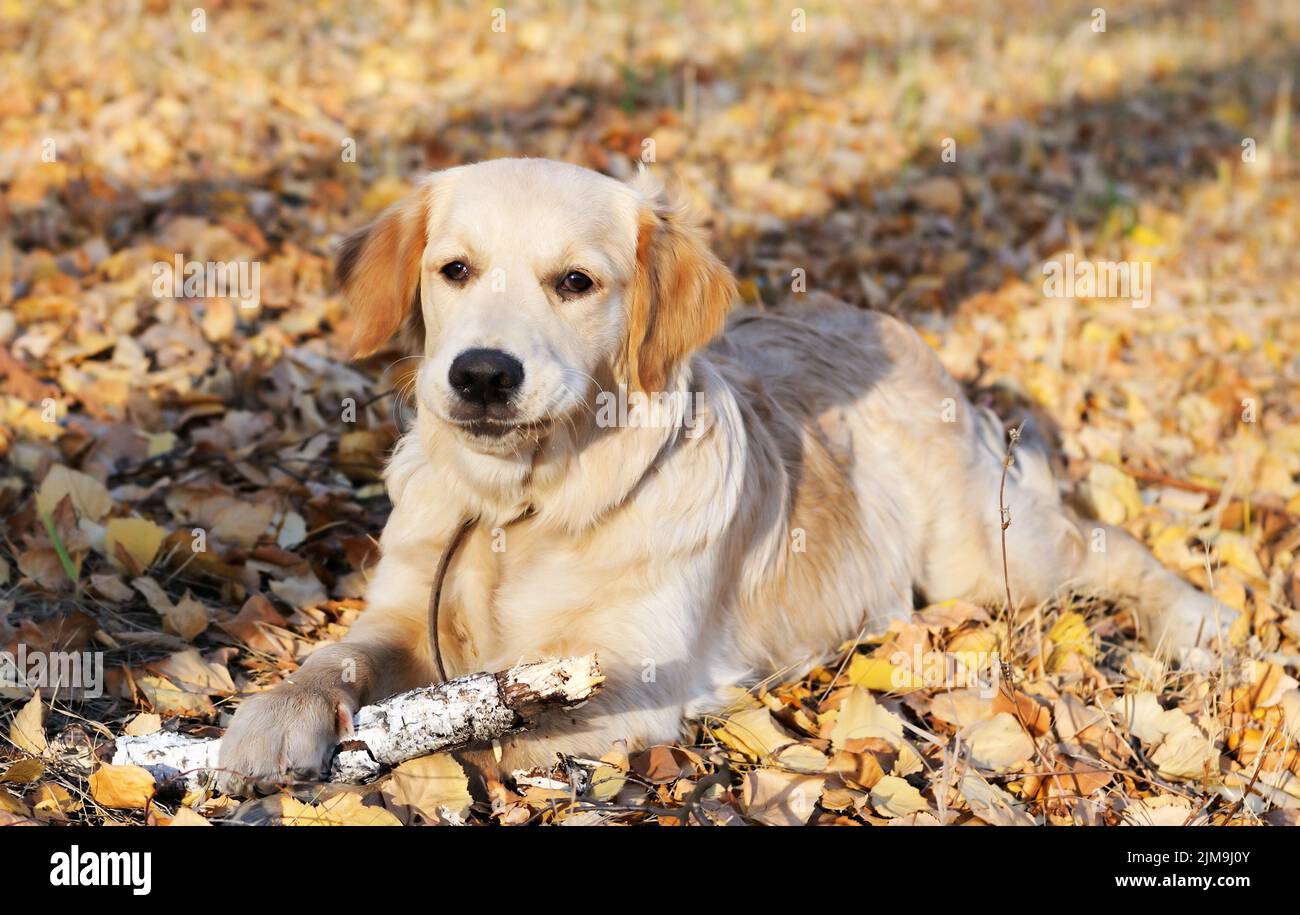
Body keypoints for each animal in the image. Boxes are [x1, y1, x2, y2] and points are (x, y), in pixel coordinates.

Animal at [218, 157, 1232, 785]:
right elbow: (339, 657)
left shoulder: (633, 675)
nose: (481, 374)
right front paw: (274, 716)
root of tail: (884, 320)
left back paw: (1198, 618)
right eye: (454, 269)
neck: (524, 507)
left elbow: (499, 735)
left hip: (984, 554)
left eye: (576, 283)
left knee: (1109, 545)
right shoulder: (403, 610)